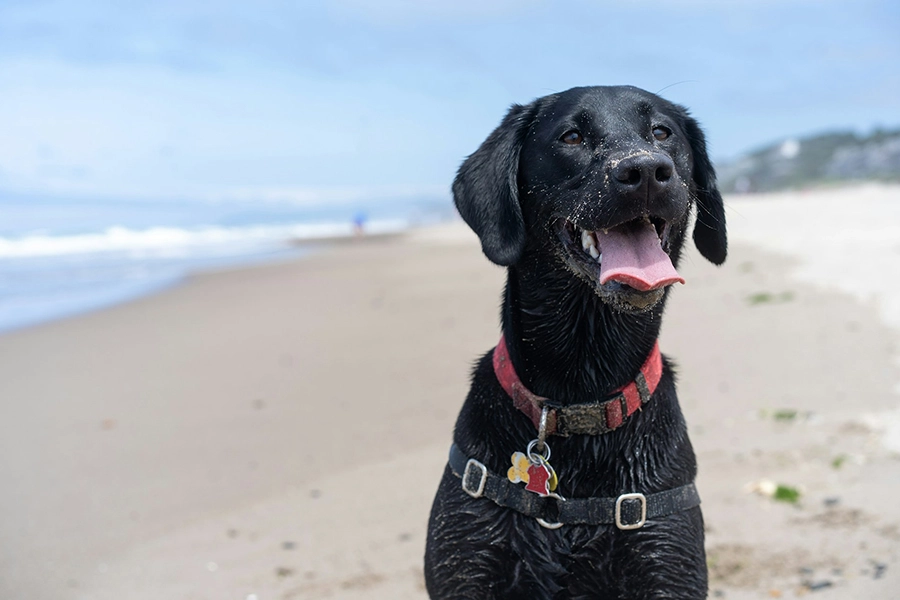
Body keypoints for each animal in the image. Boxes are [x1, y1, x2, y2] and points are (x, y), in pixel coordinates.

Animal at [426, 85, 728, 600]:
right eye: (571, 136)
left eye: (661, 132)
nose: (645, 171)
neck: (581, 387)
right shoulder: (467, 562)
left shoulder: (664, 558)